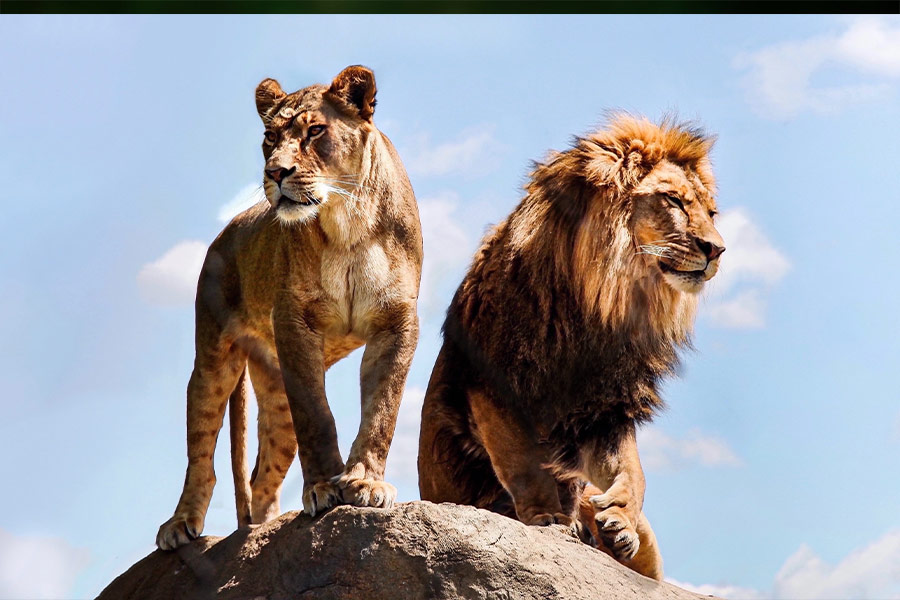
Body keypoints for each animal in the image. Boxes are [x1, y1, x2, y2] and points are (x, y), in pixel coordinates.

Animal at [156, 65, 423, 551]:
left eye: (315, 130)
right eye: (269, 136)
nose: (276, 172)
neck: (347, 221)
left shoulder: (397, 322)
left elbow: (383, 408)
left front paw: (364, 481)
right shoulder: (295, 323)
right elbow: (316, 415)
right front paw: (322, 488)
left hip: (276, 391)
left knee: (262, 476)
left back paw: (261, 532)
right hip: (214, 361)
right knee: (201, 457)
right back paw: (181, 524)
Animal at [417, 114, 724, 580]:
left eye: (711, 212)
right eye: (673, 200)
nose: (718, 249)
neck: (603, 304)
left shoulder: (603, 411)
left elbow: (634, 471)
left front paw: (619, 519)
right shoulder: (493, 386)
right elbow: (524, 462)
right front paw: (548, 517)